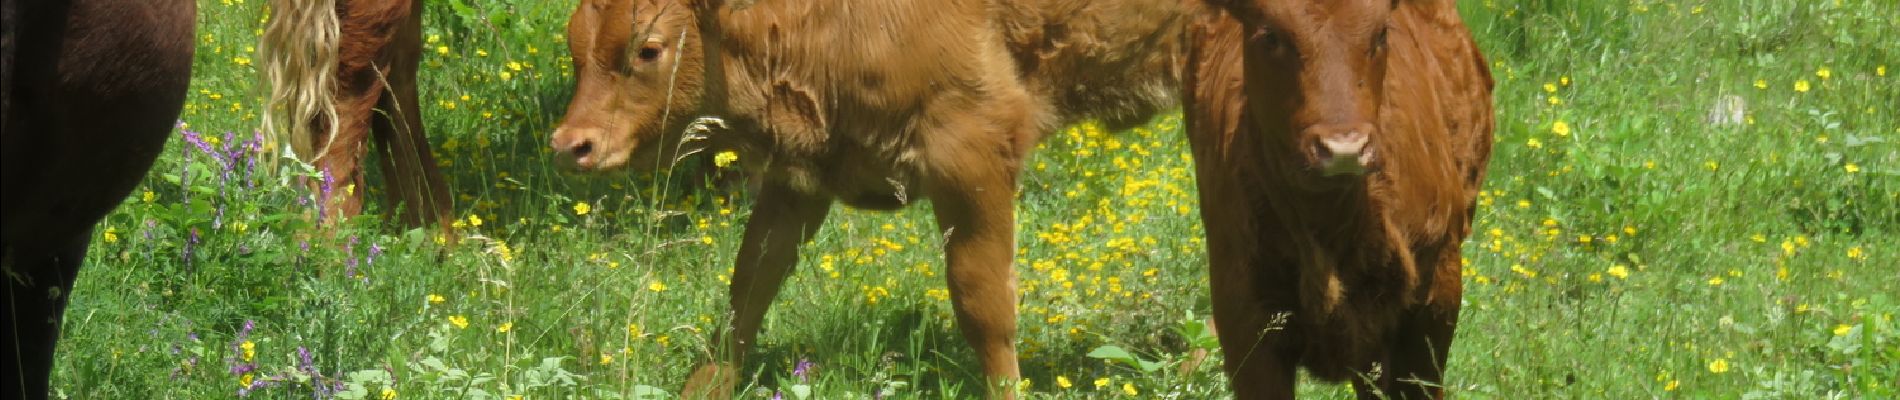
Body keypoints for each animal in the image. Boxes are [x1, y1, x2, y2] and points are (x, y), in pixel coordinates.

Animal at [547, 0, 1185, 396]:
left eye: (648, 49)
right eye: (575, 45)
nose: (571, 145)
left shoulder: (973, 157)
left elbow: (984, 303)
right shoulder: (797, 181)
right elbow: (747, 290)